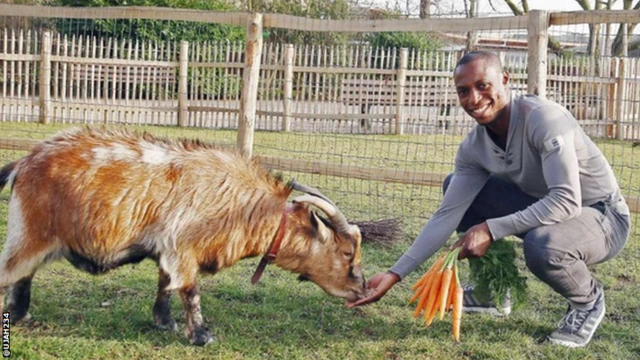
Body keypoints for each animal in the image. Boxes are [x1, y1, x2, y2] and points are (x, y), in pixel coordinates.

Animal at [0, 127, 364, 346]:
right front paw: (201, 334)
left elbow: (165, 283)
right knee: (13, 271)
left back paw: (21, 316)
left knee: (23, 275)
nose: (360, 287)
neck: (241, 201)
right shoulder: (182, 247)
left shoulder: (167, 250)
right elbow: (190, 290)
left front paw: (164, 322)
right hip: (29, 233)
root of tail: (24, 162)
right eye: (347, 252)